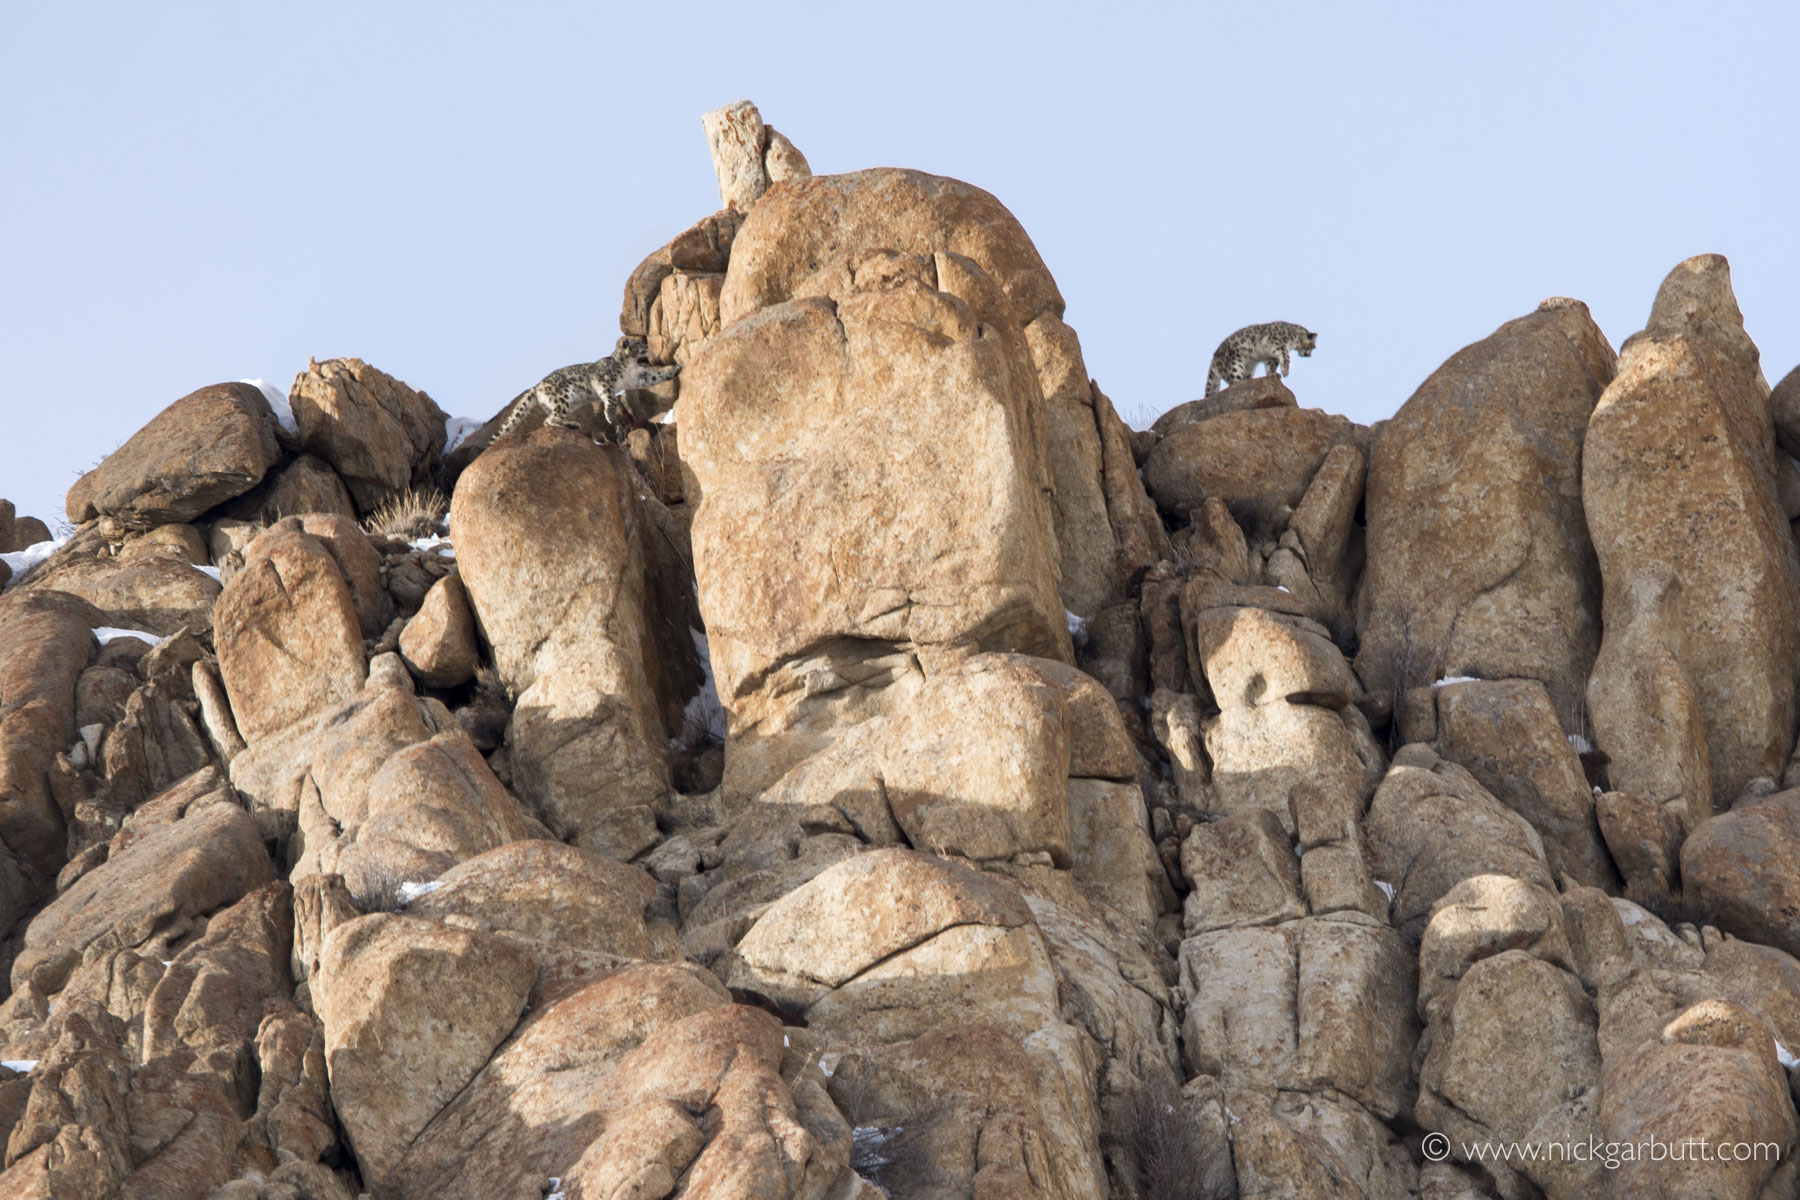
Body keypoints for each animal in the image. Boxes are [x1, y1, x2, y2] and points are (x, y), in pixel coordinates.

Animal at [493, 336, 680, 442]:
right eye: (639, 342)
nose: (647, 347)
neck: (630, 365)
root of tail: (537, 386)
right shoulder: (604, 381)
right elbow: (610, 399)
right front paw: (610, 416)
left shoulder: (639, 377)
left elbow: (657, 376)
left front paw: (677, 368)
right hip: (563, 397)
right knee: (550, 419)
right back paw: (572, 424)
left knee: (548, 420)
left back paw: (571, 425)